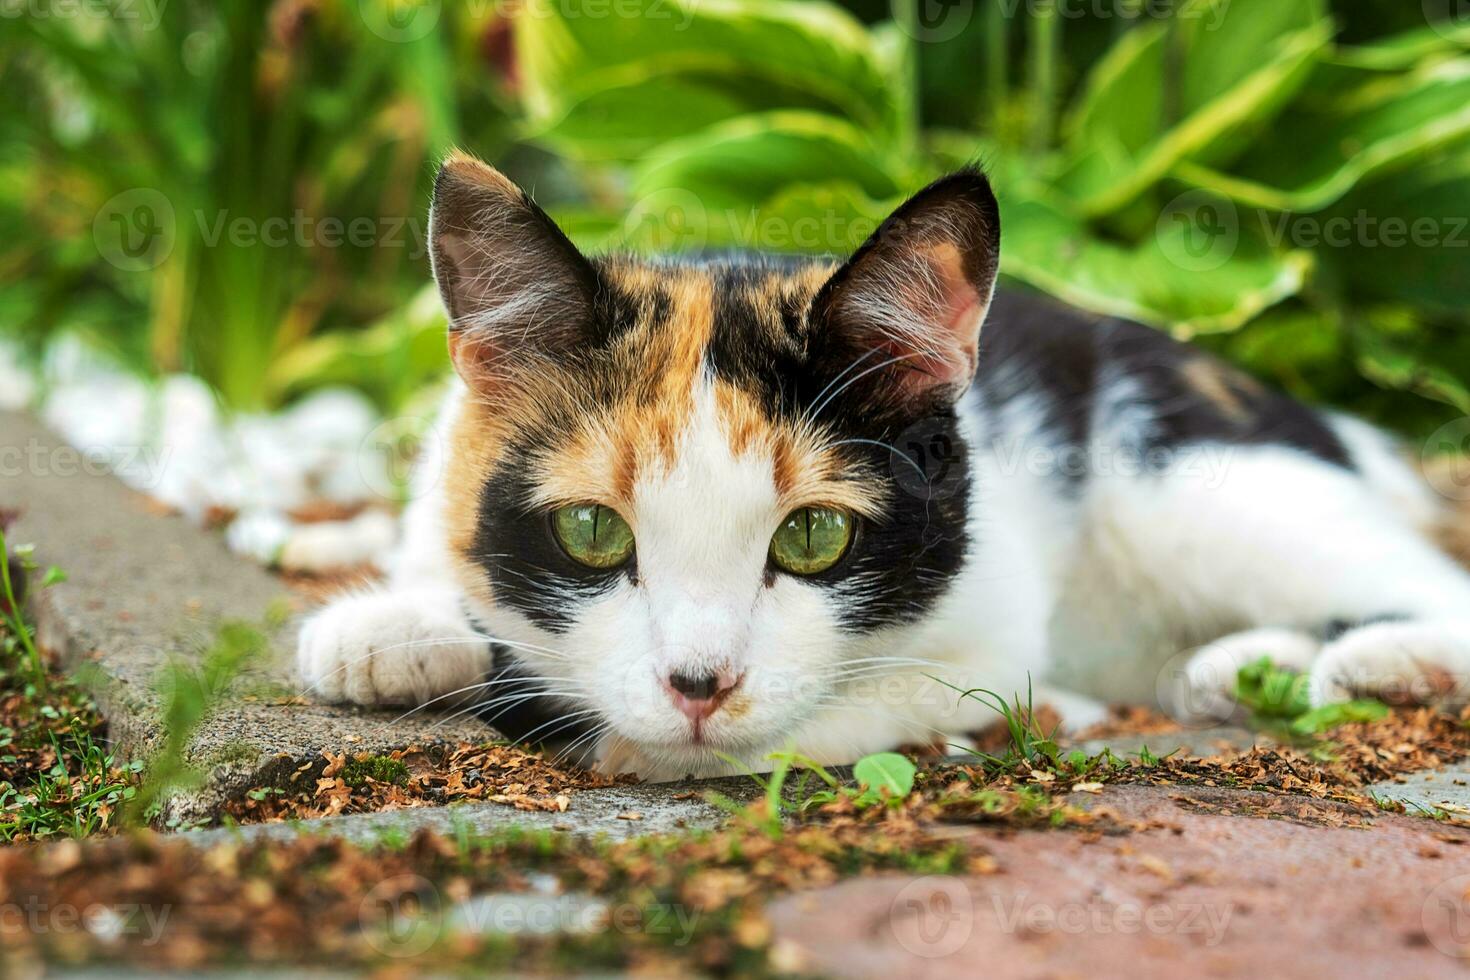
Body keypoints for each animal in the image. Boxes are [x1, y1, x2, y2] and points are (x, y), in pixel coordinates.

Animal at [295, 153, 1470, 781]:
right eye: (592, 530)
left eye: (814, 535)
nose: (698, 687)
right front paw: (392, 627)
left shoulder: (993, 628)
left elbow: (877, 697)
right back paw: (1231, 668)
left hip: (1195, 488)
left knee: (1426, 583)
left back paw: (1383, 661)